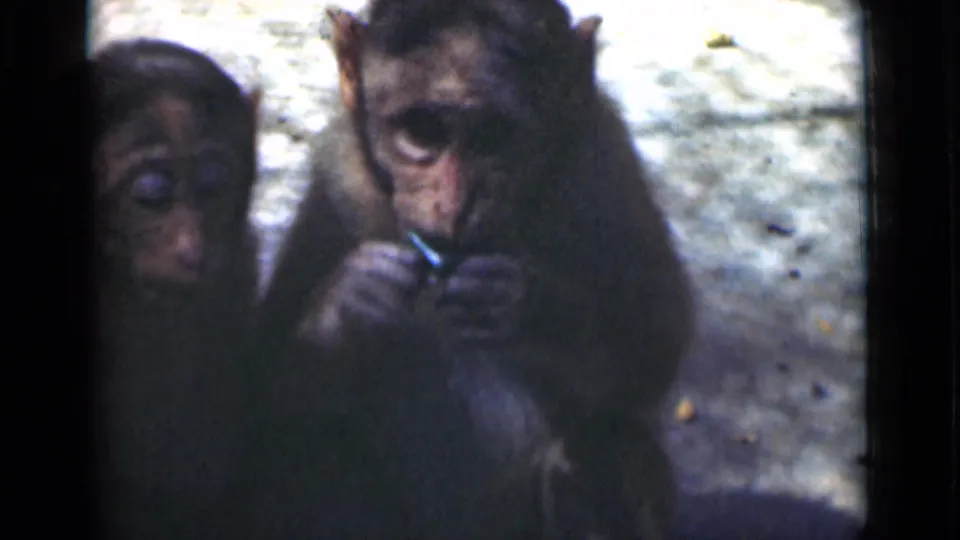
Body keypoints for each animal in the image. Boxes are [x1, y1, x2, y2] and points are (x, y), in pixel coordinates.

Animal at [252, 1, 694, 538]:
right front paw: (348, 306)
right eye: (422, 132)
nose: (452, 205)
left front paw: (526, 308)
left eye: (494, 135)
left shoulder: (602, 161)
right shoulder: (338, 176)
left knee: (597, 446)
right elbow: (268, 388)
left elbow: (654, 346)